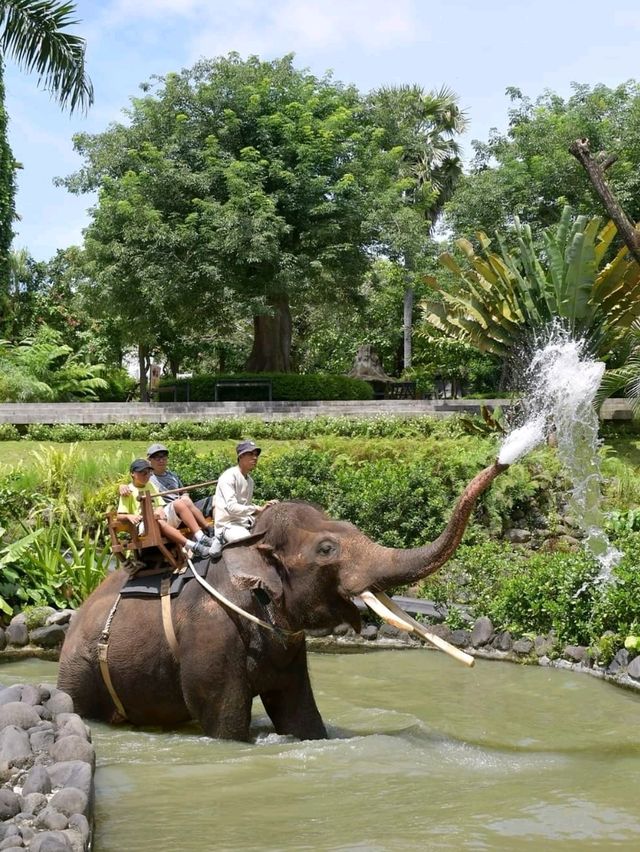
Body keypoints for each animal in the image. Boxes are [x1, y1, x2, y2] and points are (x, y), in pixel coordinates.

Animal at [57, 460, 508, 740]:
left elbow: (298, 712)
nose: (503, 463)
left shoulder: (287, 644)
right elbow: (223, 721)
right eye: (326, 549)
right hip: (81, 670)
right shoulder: (210, 631)